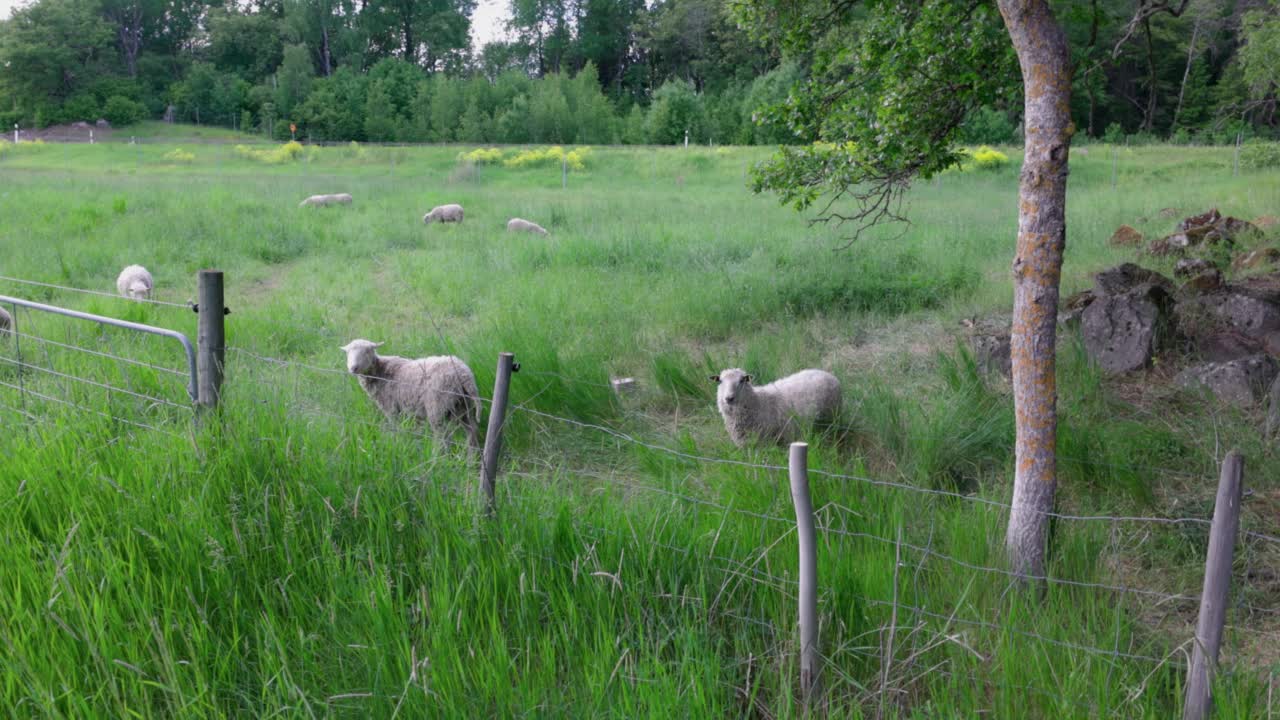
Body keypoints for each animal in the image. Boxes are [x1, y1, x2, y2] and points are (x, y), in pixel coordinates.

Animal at [340, 338, 481, 450]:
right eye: (348, 353)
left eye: (367, 351)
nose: (353, 368)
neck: (380, 373)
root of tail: (464, 374)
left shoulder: (391, 408)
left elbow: (395, 427)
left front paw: (396, 443)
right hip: (463, 405)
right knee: (472, 430)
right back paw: (471, 457)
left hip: (437, 405)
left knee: (443, 435)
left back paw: (437, 457)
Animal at [711, 366, 839, 445]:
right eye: (720, 381)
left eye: (742, 380)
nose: (729, 398)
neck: (758, 402)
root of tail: (828, 373)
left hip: (831, 417)